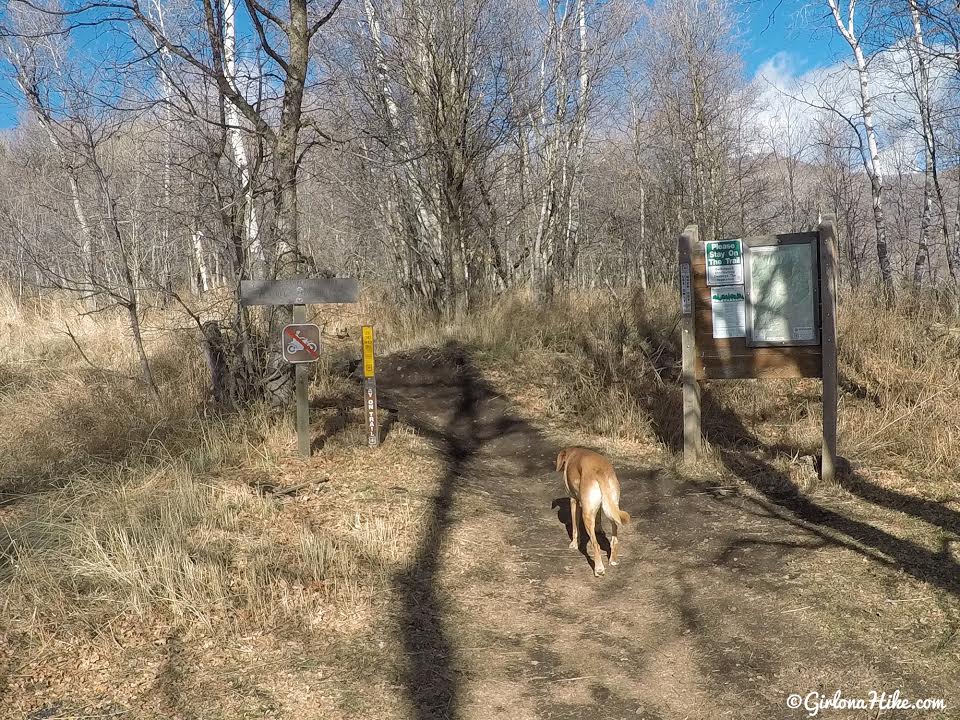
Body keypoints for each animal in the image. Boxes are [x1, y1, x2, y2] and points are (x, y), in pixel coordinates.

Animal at [556, 448, 632, 576]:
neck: (572, 453)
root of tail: (600, 471)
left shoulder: (574, 500)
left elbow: (575, 528)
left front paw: (574, 544)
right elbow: (598, 516)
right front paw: (599, 528)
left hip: (586, 515)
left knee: (595, 544)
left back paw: (599, 569)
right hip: (612, 509)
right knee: (614, 539)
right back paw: (613, 560)